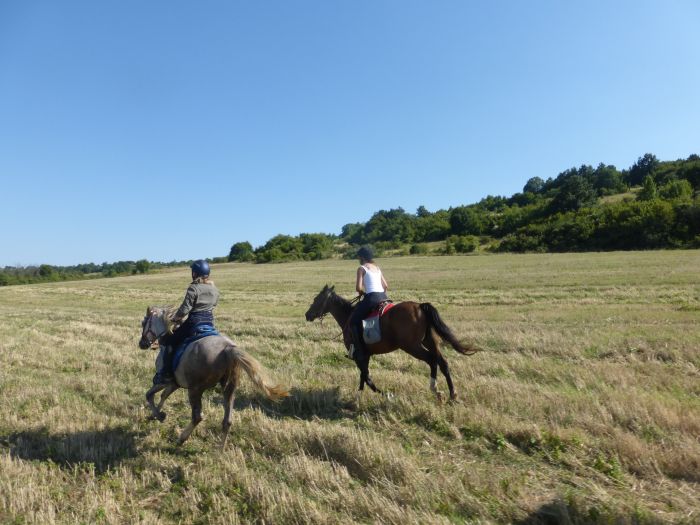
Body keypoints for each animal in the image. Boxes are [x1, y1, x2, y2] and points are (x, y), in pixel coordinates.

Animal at [138, 304, 288, 444]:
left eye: (144, 322)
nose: (142, 344)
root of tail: (228, 349)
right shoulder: (174, 383)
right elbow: (163, 396)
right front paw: (155, 415)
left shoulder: (164, 381)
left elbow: (149, 395)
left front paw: (159, 416)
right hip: (229, 388)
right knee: (227, 421)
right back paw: (220, 450)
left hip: (195, 390)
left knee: (198, 416)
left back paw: (181, 439)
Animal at [304, 284, 478, 400]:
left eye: (316, 299)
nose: (307, 315)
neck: (348, 315)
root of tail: (420, 306)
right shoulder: (365, 355)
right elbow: (363, 377)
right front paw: (359, 394)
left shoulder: (360, 356)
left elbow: (367, 378)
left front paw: (385, 393)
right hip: (430, 342)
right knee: (443, 362)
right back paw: (451, 394)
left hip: (412, 346)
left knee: (431, 360)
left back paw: (435, 389)